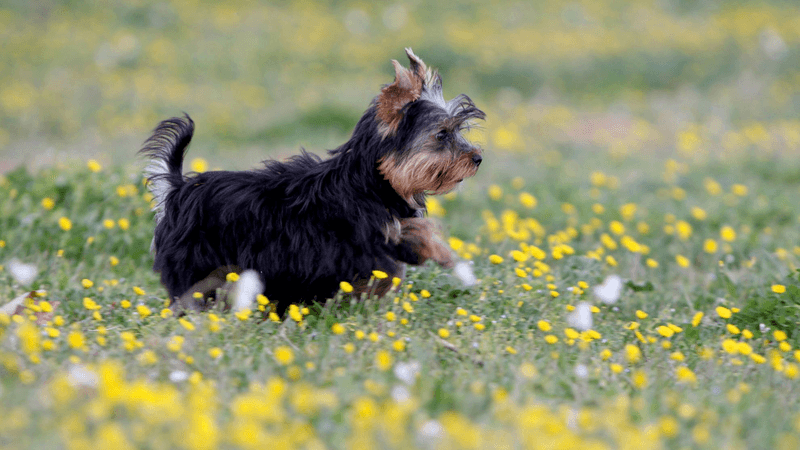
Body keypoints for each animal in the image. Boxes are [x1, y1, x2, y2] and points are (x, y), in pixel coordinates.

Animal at [141, 49, 484, 314]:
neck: (370, 182)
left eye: (458, 131)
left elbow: (410, 235)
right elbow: (398, 250)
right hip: (196, 260)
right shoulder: (357, 243)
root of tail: (177, 190)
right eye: (442, 135)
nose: (478, 158)